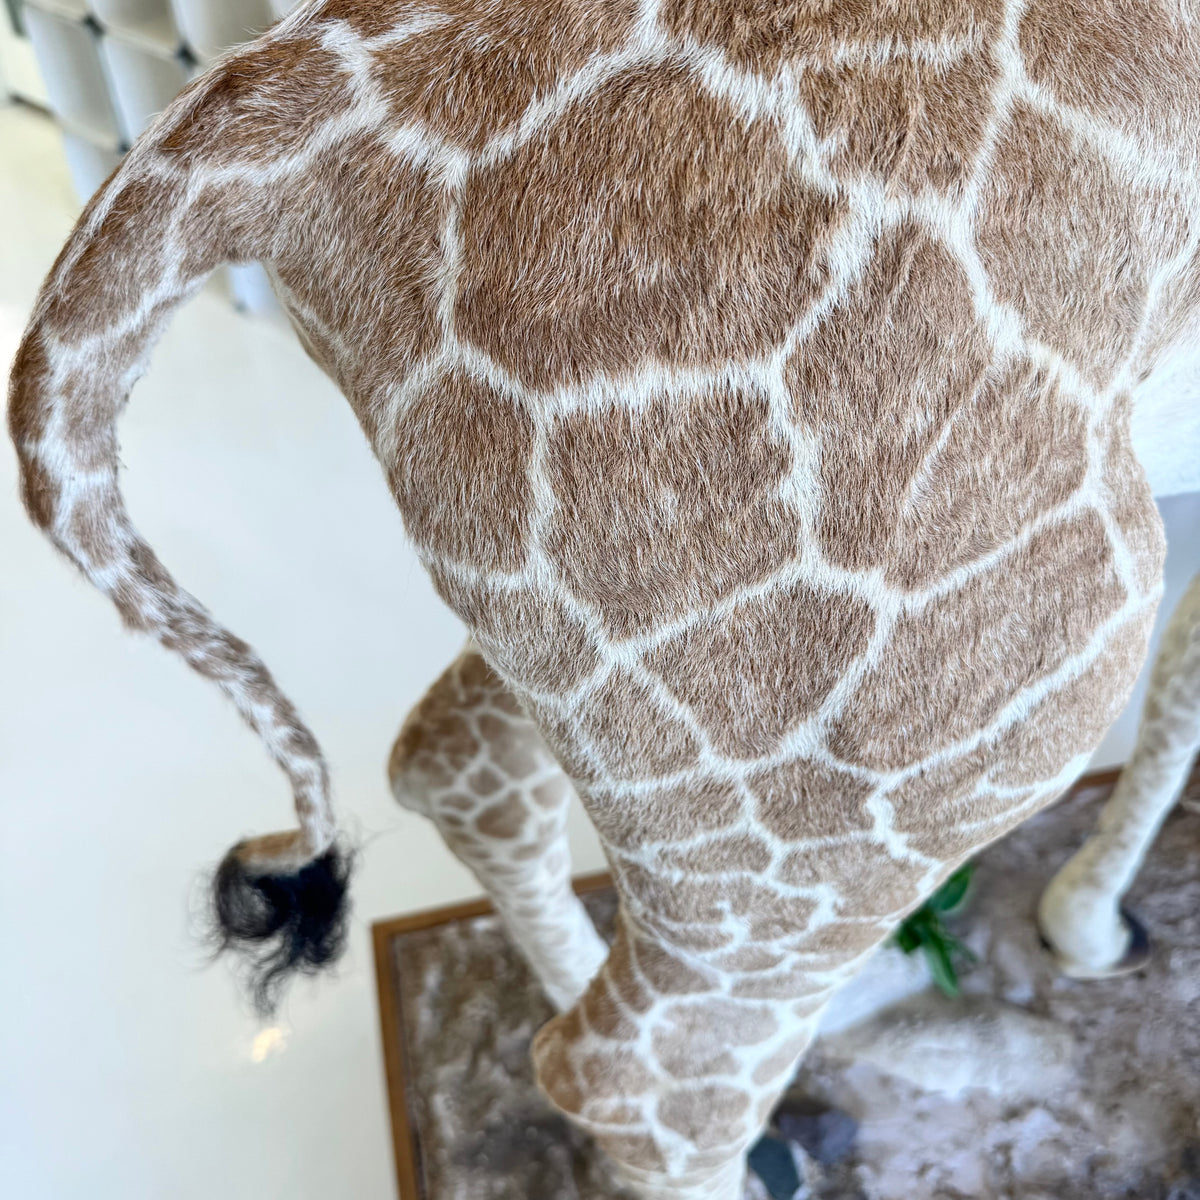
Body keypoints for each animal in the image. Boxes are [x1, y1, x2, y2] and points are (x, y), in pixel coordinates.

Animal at [7, 0, 1200, 1196]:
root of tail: (277, 101)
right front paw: (1090, 932)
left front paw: (1088, 925)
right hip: (972, 687)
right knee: (644, 1074)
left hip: (596, 639)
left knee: (452, 770)